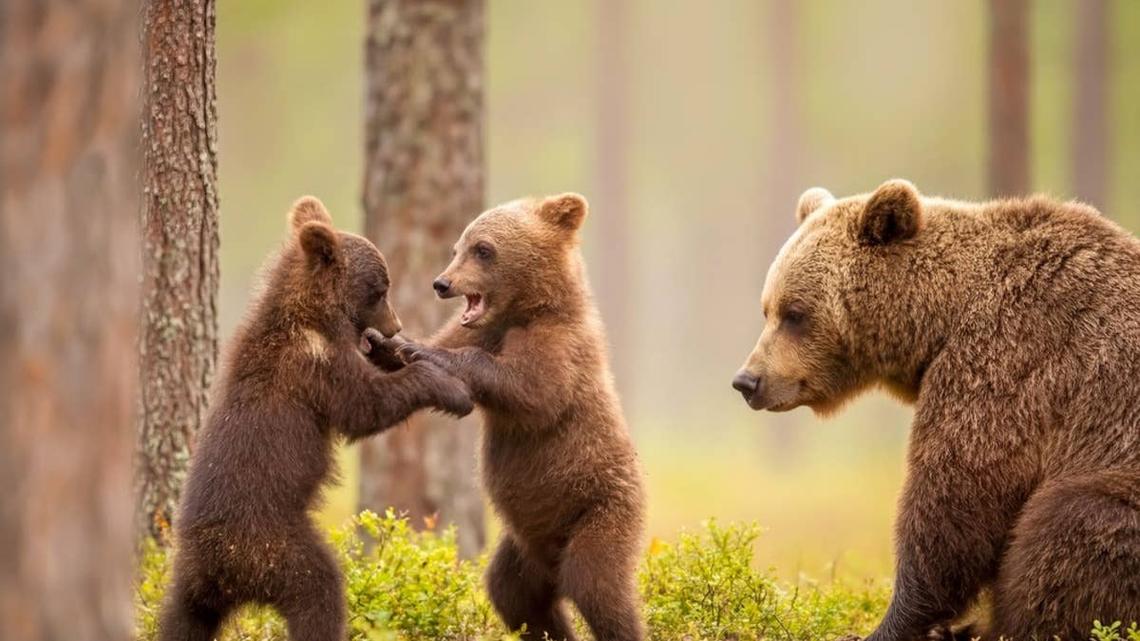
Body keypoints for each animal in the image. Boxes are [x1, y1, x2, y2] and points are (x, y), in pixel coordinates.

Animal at [159, 196, 475, 641]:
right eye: (381, 289)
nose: (395, 326)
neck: (313, 317)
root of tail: (224, 571)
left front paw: (399, 350)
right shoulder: (315, 366)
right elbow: (366, 406)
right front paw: (451, 390)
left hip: (189, 584)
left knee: (178, 619)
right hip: (275, 548)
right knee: (320, 590)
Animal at [369, 193, 647, 641]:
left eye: (483, 249)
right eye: (457, 248)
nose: (441, 283)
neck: (527, 309)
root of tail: (551, 562)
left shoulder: (561, 347)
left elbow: (530, 390)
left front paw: (426, 352)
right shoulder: (479, 328)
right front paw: (386, 343)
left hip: (601, 509)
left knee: (597, 584)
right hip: (523, 547)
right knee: (513, 594)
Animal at [732, 179, 1140, 640]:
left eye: (795, 313)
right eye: (767, 309)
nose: (747, 381)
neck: (940, 320)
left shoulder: (1009, 361)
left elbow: (955, 498)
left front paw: (890, 624)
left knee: (1071, 523)